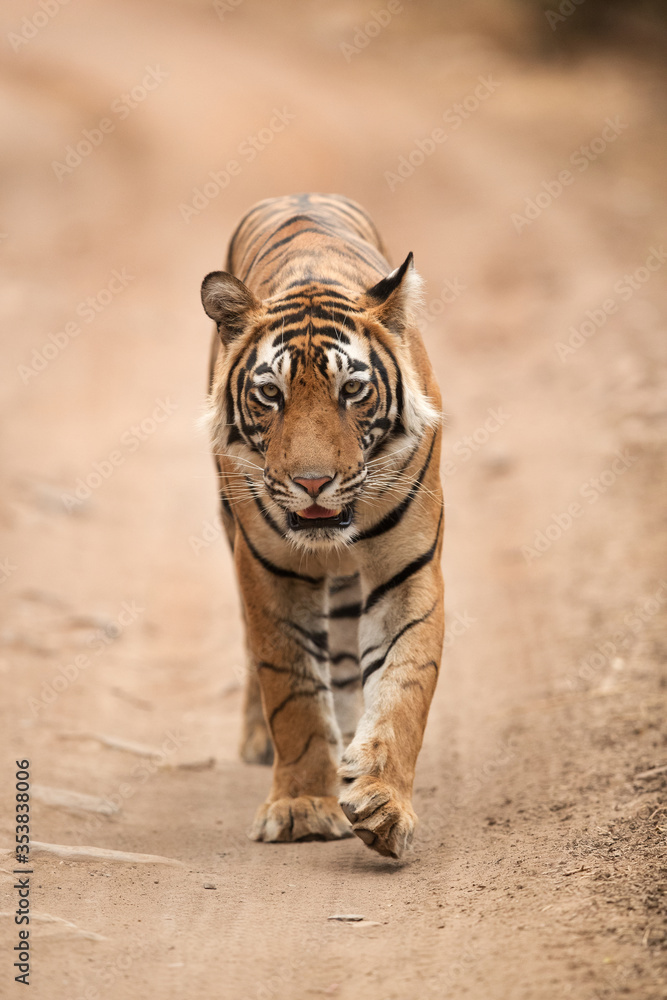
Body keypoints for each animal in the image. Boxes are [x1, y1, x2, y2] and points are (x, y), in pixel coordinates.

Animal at [200, 193, 444, 859]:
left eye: (353, 390)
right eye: (270, 395)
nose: (313, 483)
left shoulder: (407, 570)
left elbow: (404, 687)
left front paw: (382, 801)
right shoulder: (270, 573)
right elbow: (292, 692)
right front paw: (303, 807)